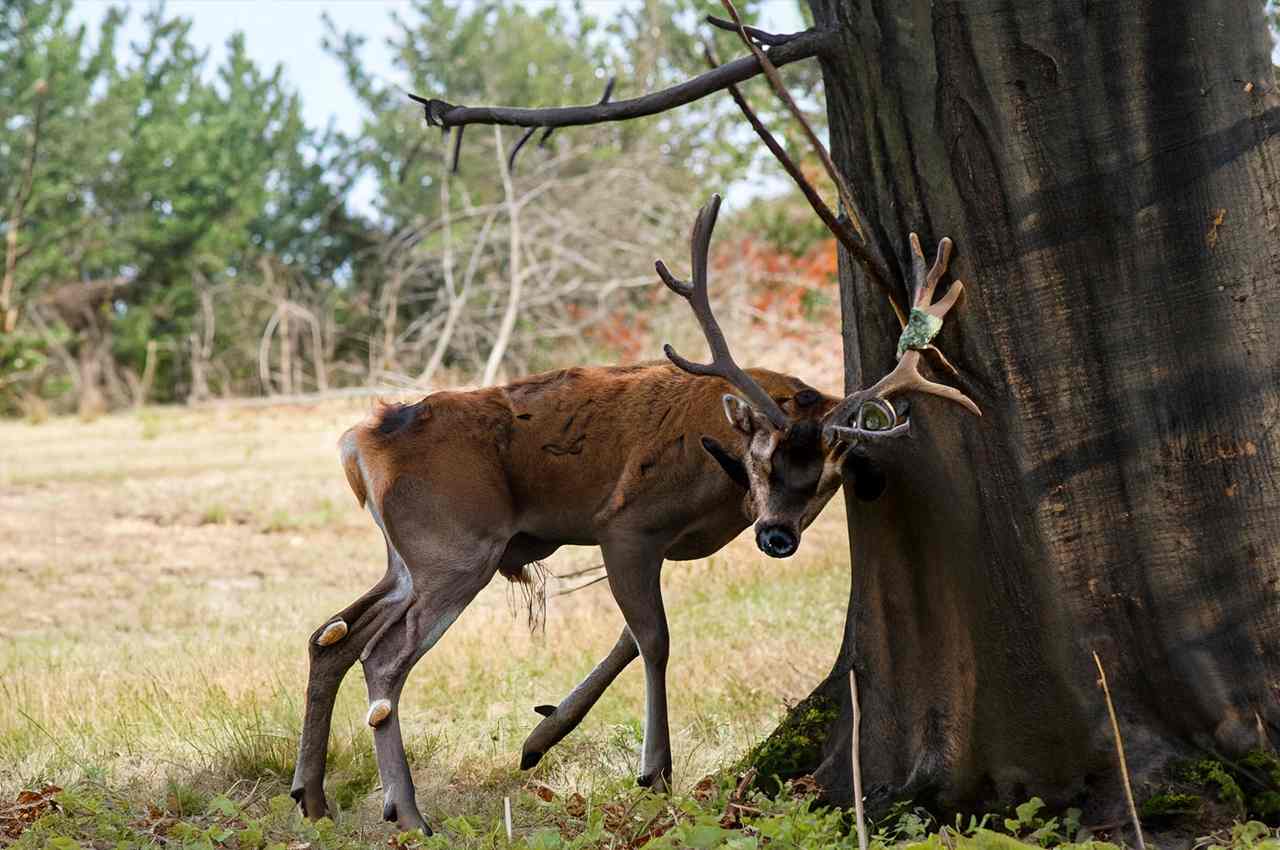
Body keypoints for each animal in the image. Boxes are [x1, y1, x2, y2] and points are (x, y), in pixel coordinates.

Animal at [289, 194, 979, 835]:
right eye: (760, 458)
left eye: (831, 479)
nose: (777, 535)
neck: (718, 485)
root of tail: (360, 442)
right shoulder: (624, 525)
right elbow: (655, 638)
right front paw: (656, 771)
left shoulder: (653, 546)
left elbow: (628, 635)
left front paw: (541, 736)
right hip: (455, 546)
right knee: (381, 657)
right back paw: (407, 813)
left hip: (406, 557)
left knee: (332, 637)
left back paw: (313, 799)